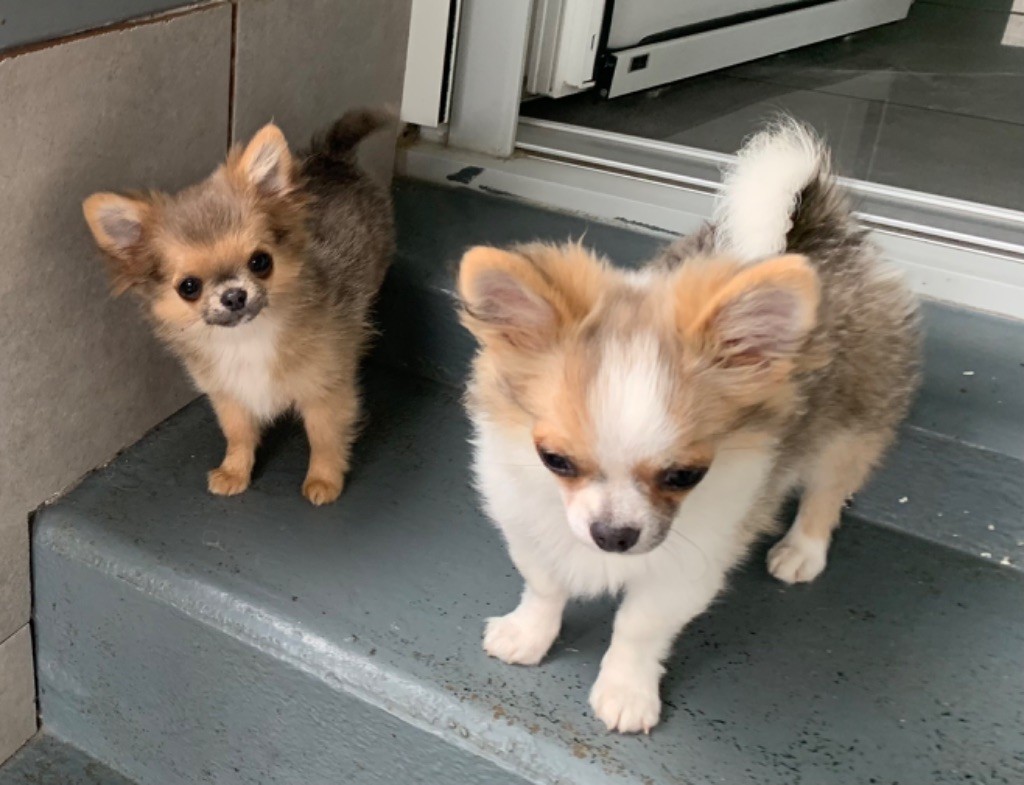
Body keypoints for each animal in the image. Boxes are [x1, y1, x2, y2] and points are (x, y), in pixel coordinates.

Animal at [83, 108, 394, 505]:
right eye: (188, 287)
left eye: (260, 262)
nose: (233, 295)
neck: (247, 337)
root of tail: (332, 157)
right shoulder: (230, 394)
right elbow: (239, 435)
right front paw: (235, 472)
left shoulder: (325, 391)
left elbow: (324, 438)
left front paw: (324, 480)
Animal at [456, 120, 920, 733]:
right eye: (554, 461)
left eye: (685, 476)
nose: (613, 535)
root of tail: (822, 231)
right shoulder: (533, 529)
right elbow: (545, 586)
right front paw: (528, 635)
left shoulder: (686, 567)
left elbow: (637, 629)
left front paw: (625, 692)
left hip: (851, 428)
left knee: (826, 492)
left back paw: (801, 550)